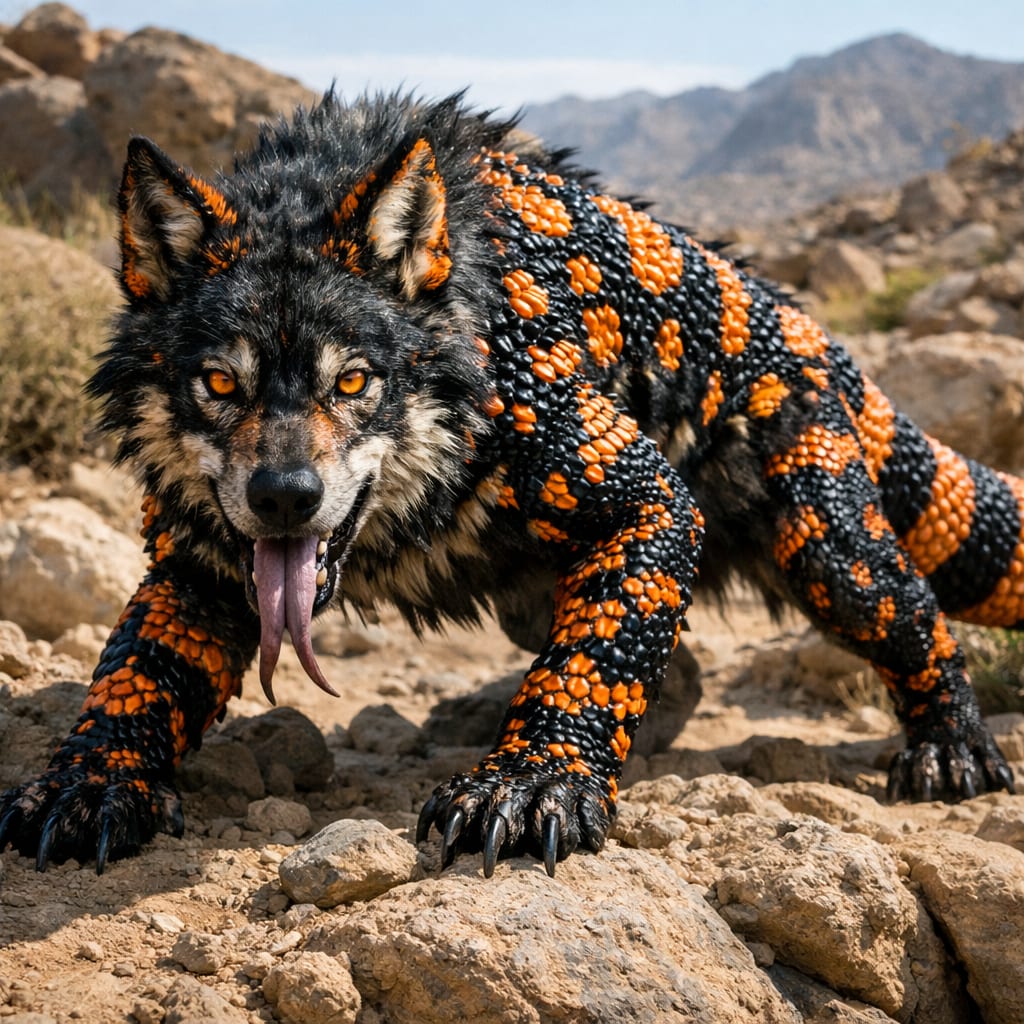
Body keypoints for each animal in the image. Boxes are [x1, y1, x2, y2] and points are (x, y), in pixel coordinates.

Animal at [0, 92, 1016, 876]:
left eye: (355, 381)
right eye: (218, 382)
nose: (284, 496)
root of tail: (816, 335)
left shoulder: (618, 470)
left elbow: (599, 655)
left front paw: (532, 785)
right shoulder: (200, 557)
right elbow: (141, 667)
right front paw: (90, 783)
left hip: (822, 527)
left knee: (906, 611)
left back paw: (953, 748)